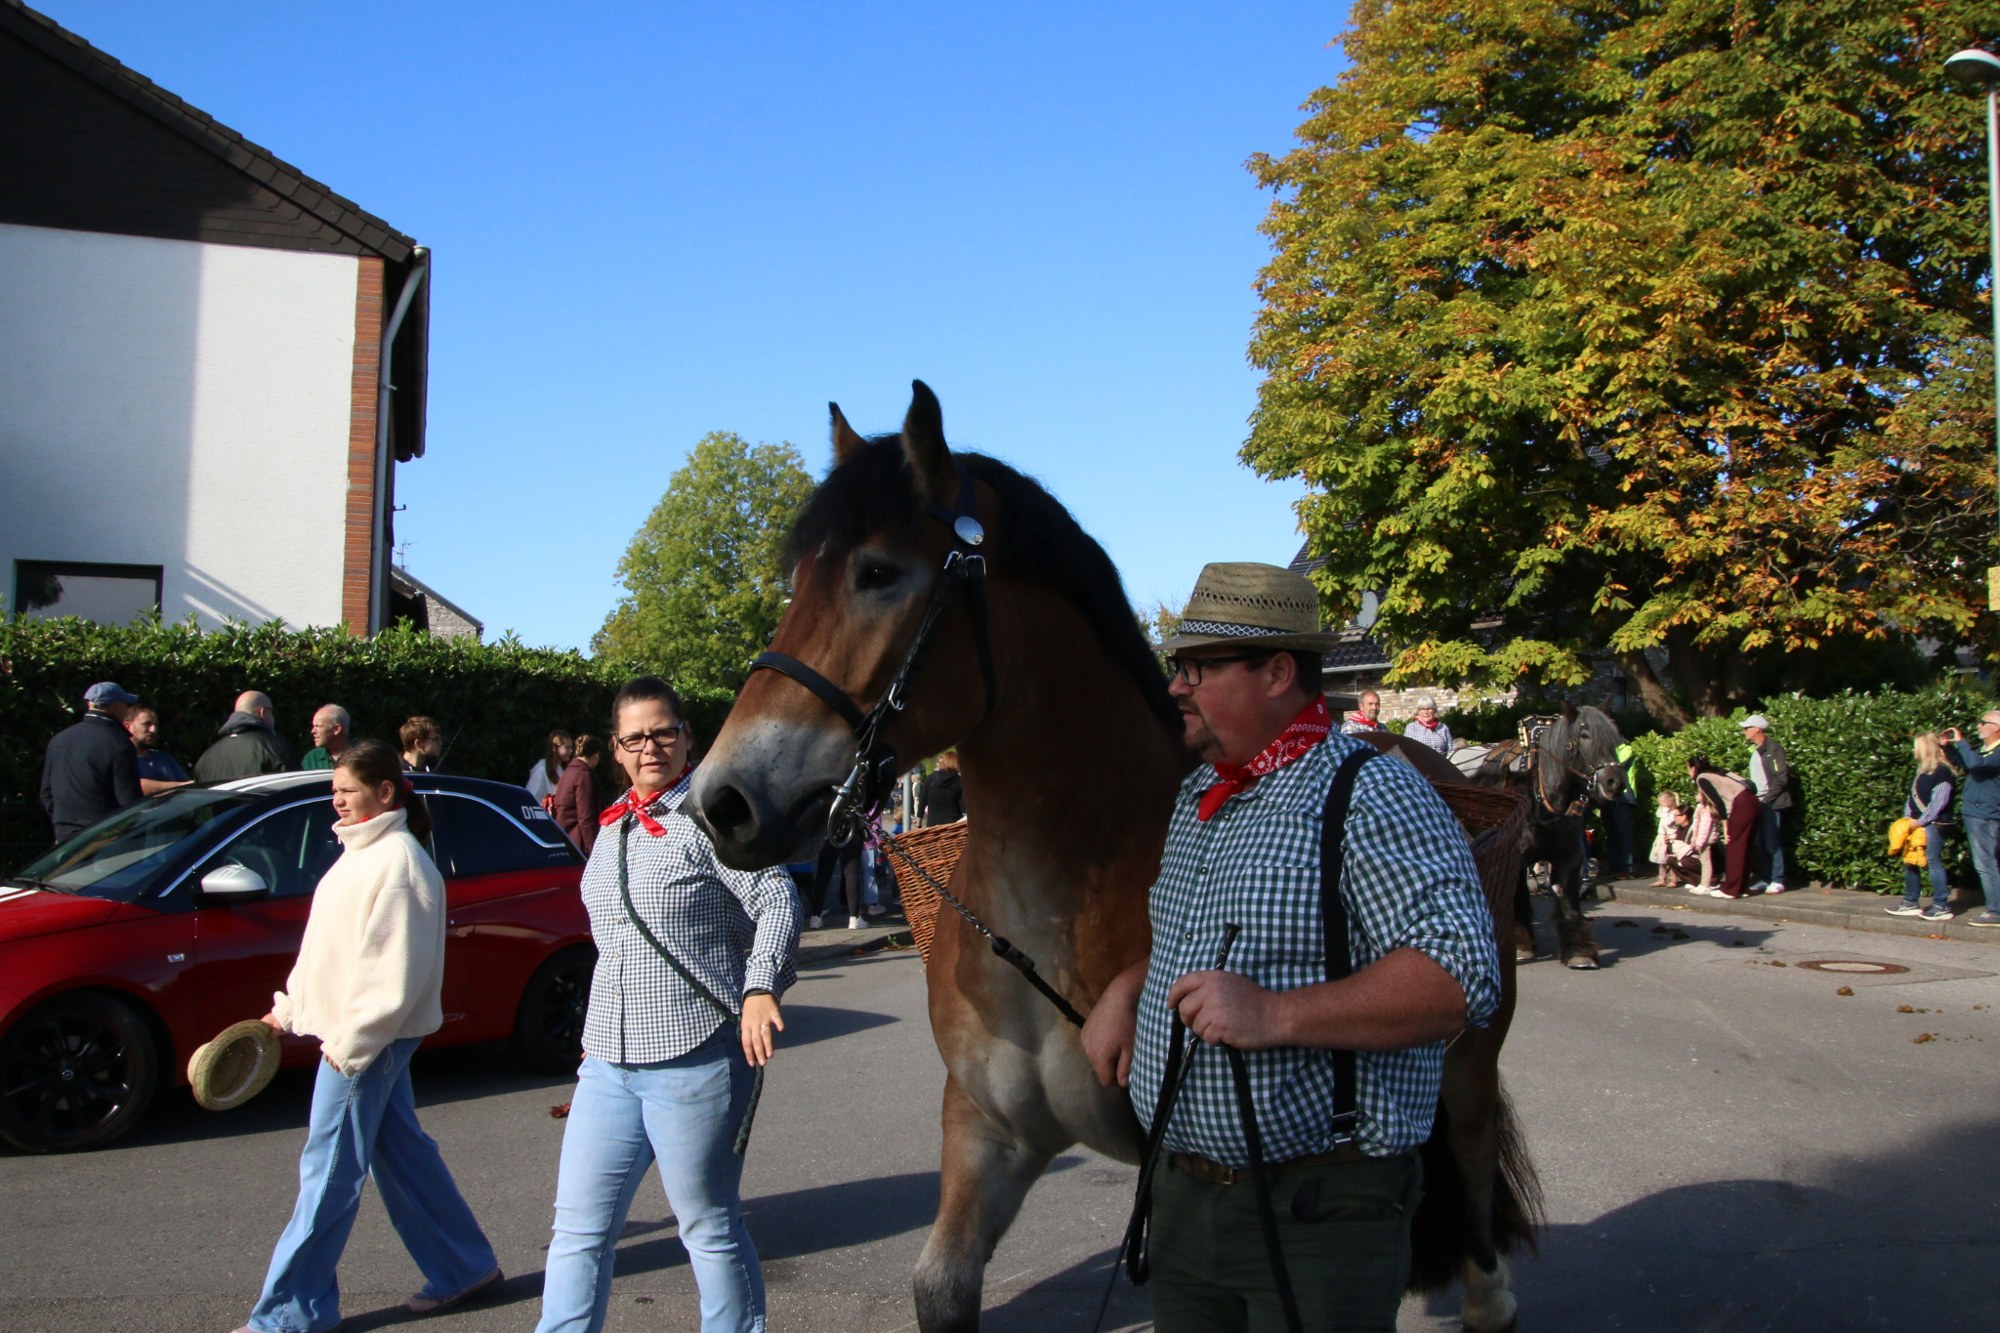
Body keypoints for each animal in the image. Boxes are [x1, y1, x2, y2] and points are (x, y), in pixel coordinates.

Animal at [691, 382, 1539, 1332]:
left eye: (879, 572)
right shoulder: (988, 1131)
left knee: (1474, 1218)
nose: (720, 801)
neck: (1055, 900)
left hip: (1467, 1077)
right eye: (799, 578)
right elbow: (941, 1284)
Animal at [1456, 710, 1627, 969]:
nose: (1615, 782)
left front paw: (1578, 951)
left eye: (1614, 738)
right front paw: (1520, 944)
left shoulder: (1570, 855)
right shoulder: (1515, 856)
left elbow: (1568, 900)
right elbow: (1516, 896)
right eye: (1584, 735)